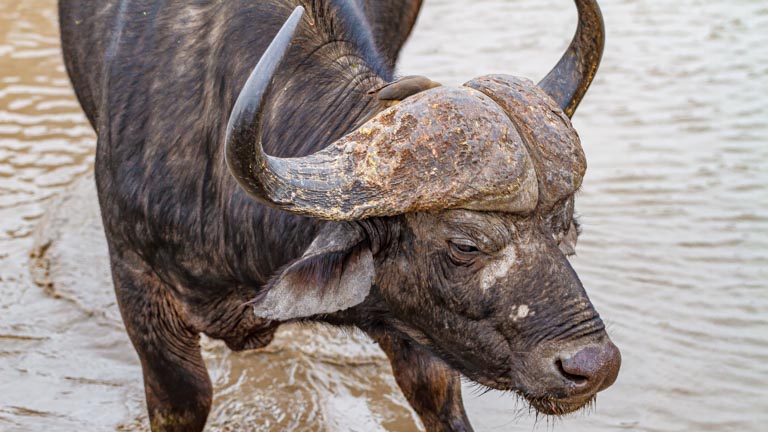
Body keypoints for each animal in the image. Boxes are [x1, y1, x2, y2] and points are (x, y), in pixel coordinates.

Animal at [59, 0, 620, 430]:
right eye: (464, 245)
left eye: (565, 230)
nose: (592, 366)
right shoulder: (141, 290)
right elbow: (187, 395)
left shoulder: (413, 327)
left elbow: (434, 391)